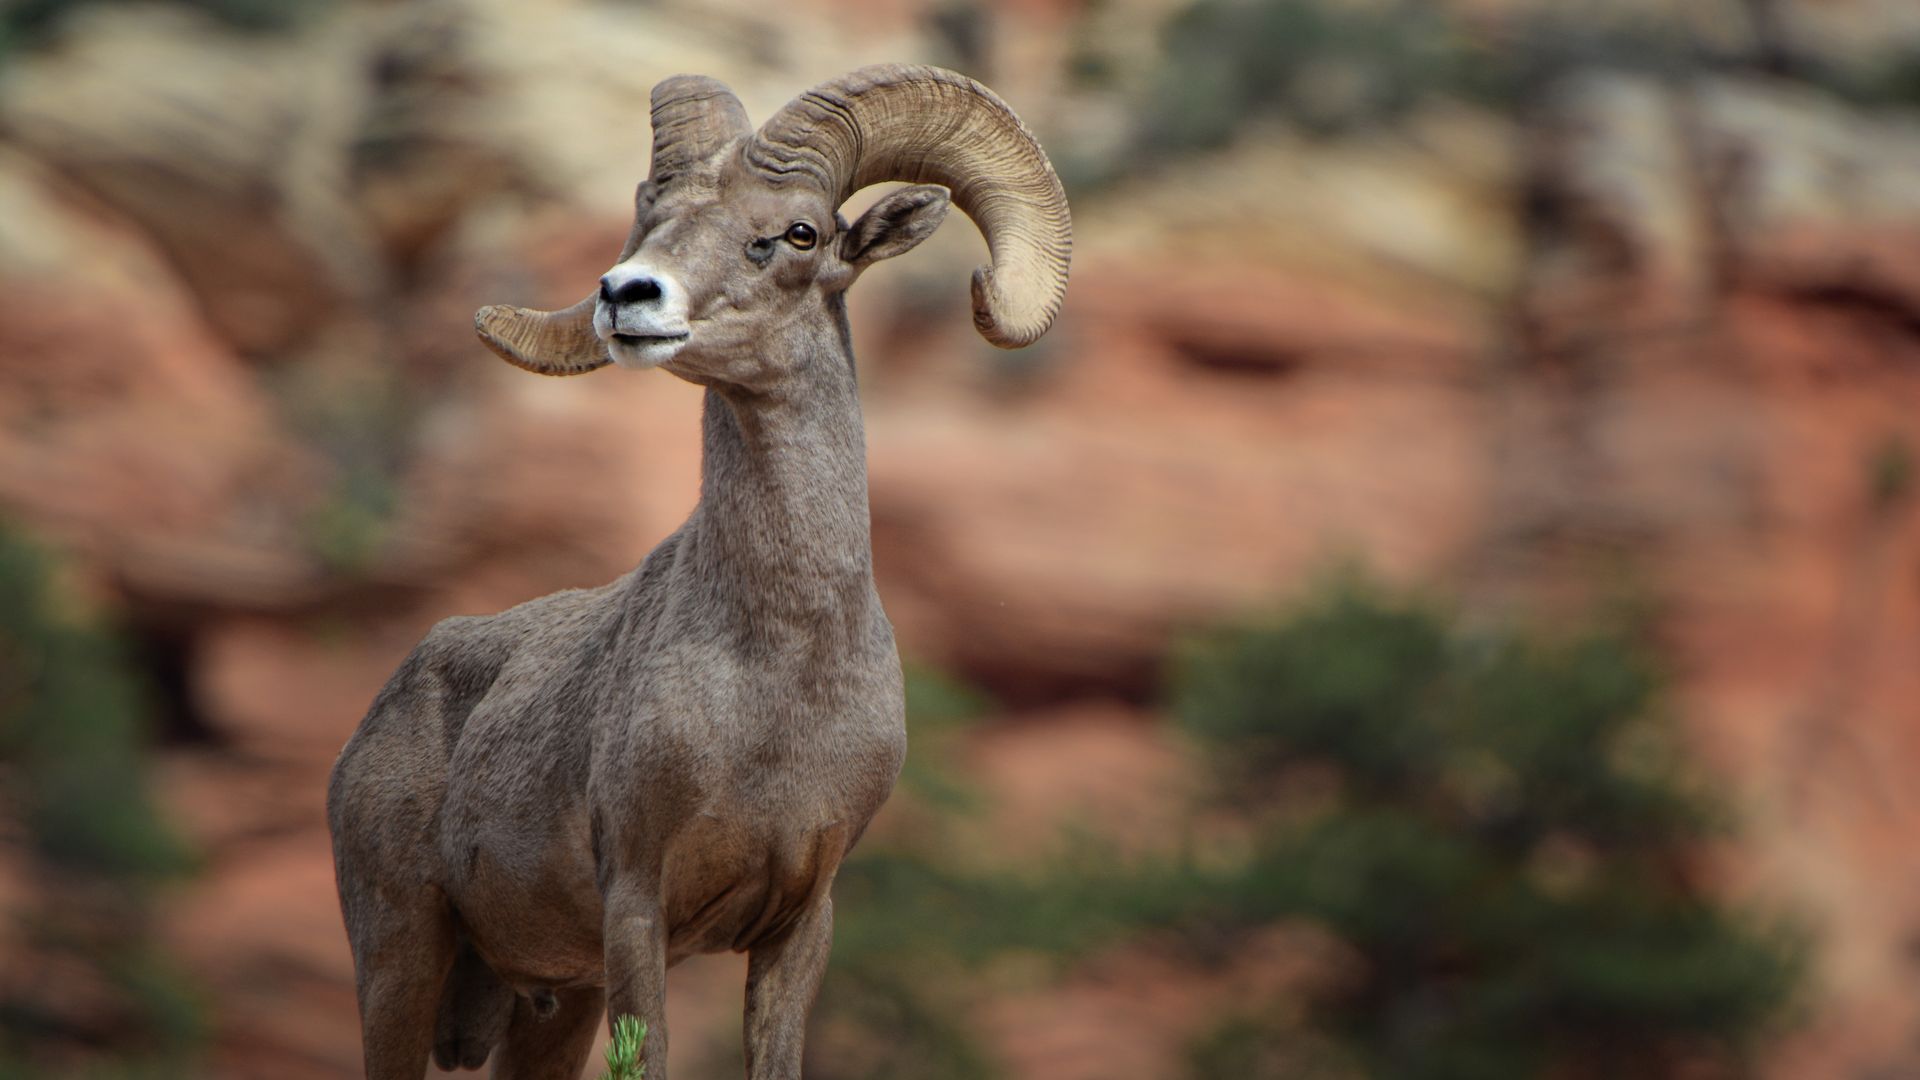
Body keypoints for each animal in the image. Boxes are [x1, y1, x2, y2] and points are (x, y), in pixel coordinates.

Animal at [325, 64, 1071, 1080]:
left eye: (799, 233)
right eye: (651, 218)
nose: (625, 294)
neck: (779, 682)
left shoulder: (799, 924)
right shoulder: (638, 906)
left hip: (551, 1004)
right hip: (400, 958)